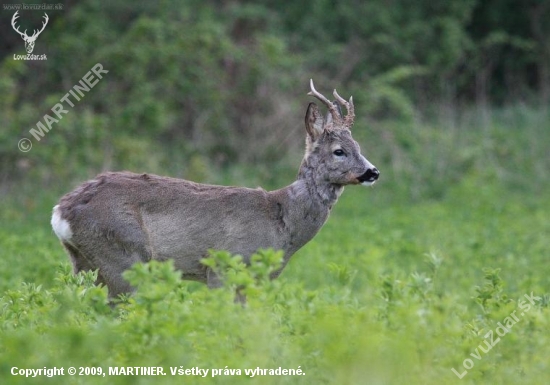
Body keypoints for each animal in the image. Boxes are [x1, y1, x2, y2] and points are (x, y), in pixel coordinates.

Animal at [51, 80, 380, 296]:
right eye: (339, 151)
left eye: (359, 147)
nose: (373, 172)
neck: (281, 220)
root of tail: (60, 211)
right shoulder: (224, 267)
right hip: (124, 255)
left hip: (84, 262)